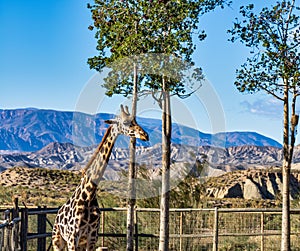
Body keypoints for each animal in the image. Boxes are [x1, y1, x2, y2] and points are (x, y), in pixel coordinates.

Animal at [52, 105, 149, 250]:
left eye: (135, 121)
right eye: (126, 122)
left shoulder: (92, 238)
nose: (145, 135)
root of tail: (57, 215)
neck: (89, 195)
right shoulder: (72, 238)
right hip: (58, 241)